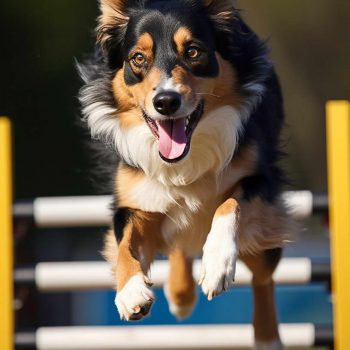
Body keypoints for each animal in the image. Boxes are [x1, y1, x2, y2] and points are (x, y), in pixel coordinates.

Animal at [78, 1, 292, 348]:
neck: (186, 157)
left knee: (263, 275)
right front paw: (130, 292)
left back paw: (267, 337)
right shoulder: (135, 197)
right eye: (138, 58)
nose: (166, 102)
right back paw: (180, 296)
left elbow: (230, 204)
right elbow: (125, 241)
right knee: (180, 240)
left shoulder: (261, 180)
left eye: (193, 51)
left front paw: (217, 264)